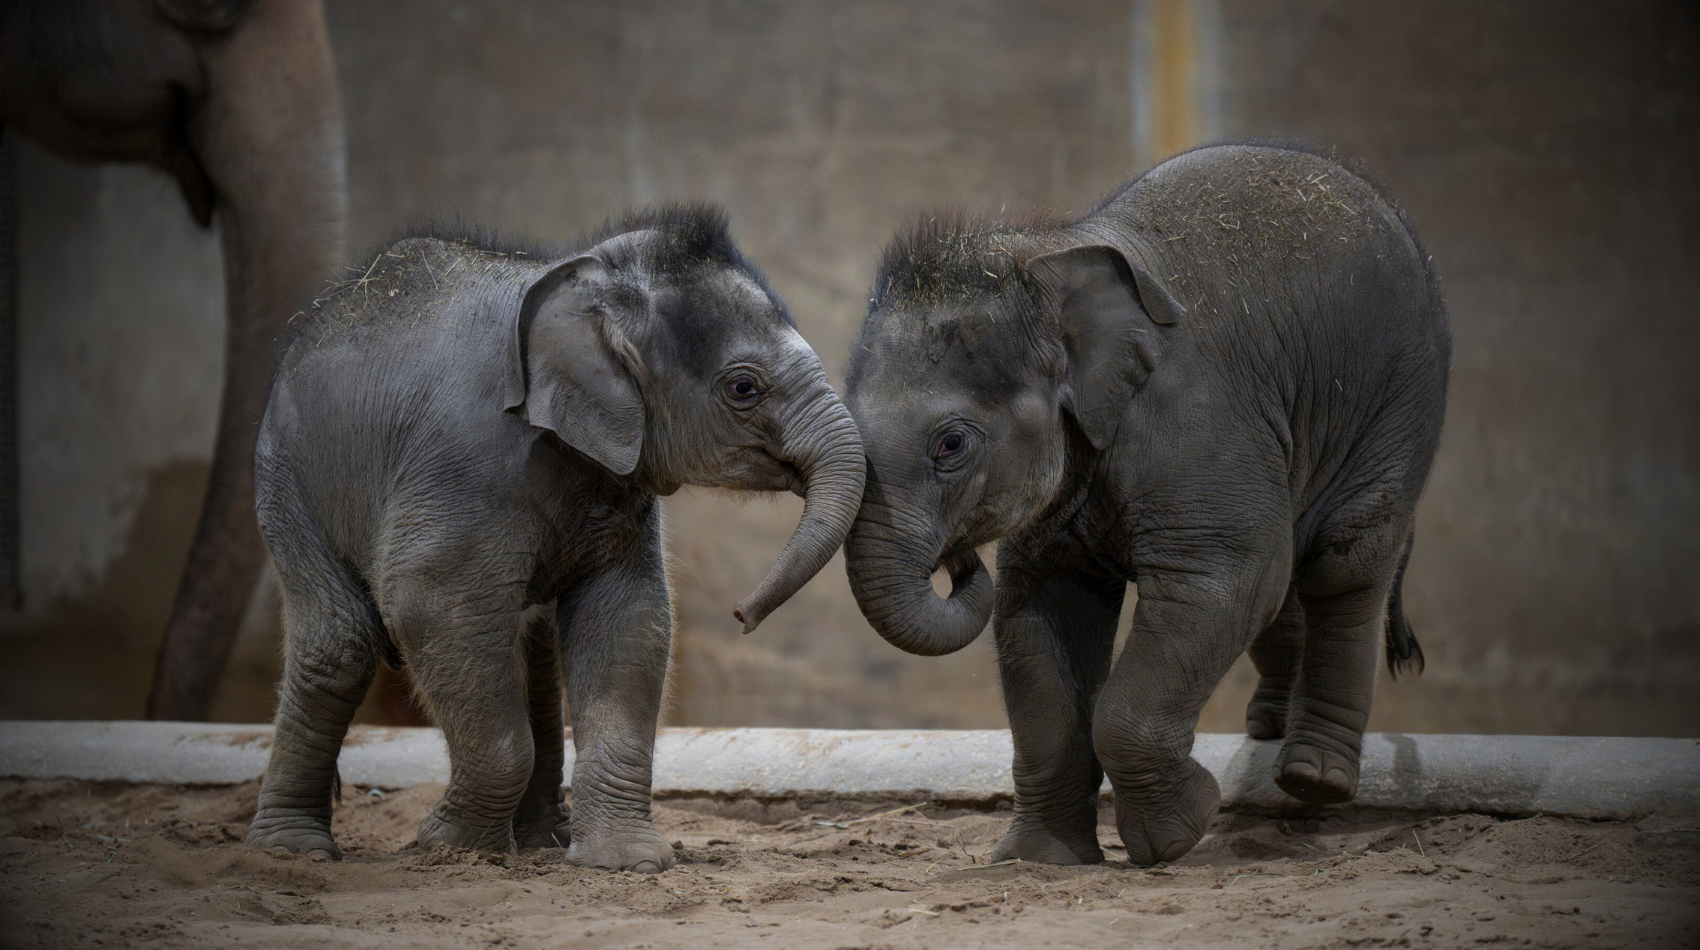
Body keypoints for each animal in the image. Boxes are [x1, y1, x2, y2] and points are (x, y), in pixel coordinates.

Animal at [245, 206, 865, 871]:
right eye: (744, 388)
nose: (741, 614)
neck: (583, 278)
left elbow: (630, 619)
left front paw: (626, 862)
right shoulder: (464, 462)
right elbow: (431, 603)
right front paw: (451, 846)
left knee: (532, 649)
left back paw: (542, 840)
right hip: (288, 484)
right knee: (341, 643)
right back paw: (291, 851)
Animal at [842, 143, 1449, 866]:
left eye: (951, 443)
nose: (959, 559)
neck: (1046, 259)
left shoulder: (1197, 422)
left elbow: (1224, 579)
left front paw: (1176, 835)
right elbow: (1041, 612)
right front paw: (1039, 859)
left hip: (1401, 401)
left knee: (1343, 562)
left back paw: (1313, 779)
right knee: (1287, 582)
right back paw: (1267, 728)